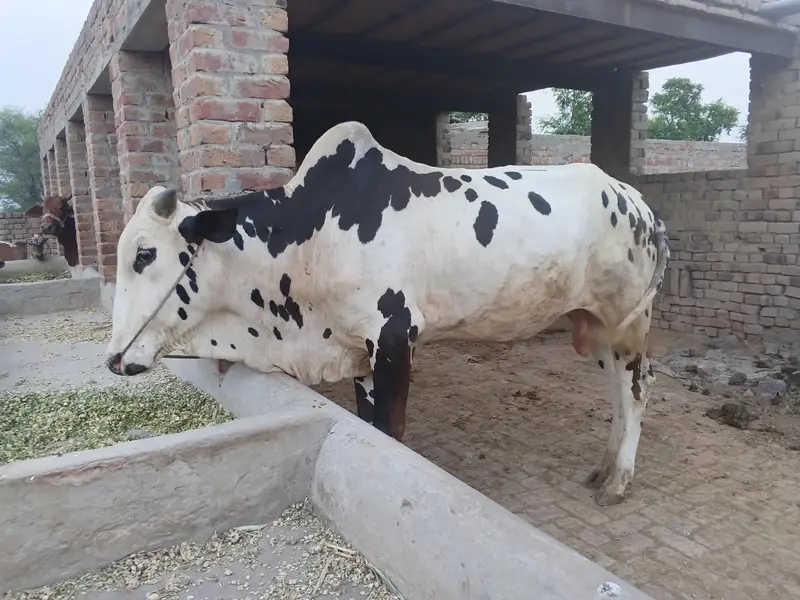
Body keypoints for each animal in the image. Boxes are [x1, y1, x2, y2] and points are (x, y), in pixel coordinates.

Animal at [105, 121, 670, 506]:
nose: (113, 359)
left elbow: (390, 430)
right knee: (618, 391)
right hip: (599, 326)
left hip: (628, 324)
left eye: (144, 255)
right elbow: (370, 425)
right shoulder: (359, 350)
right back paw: (604, 467)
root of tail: (637, 199)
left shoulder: (395, 337)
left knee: (637, 389)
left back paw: (619, 479)